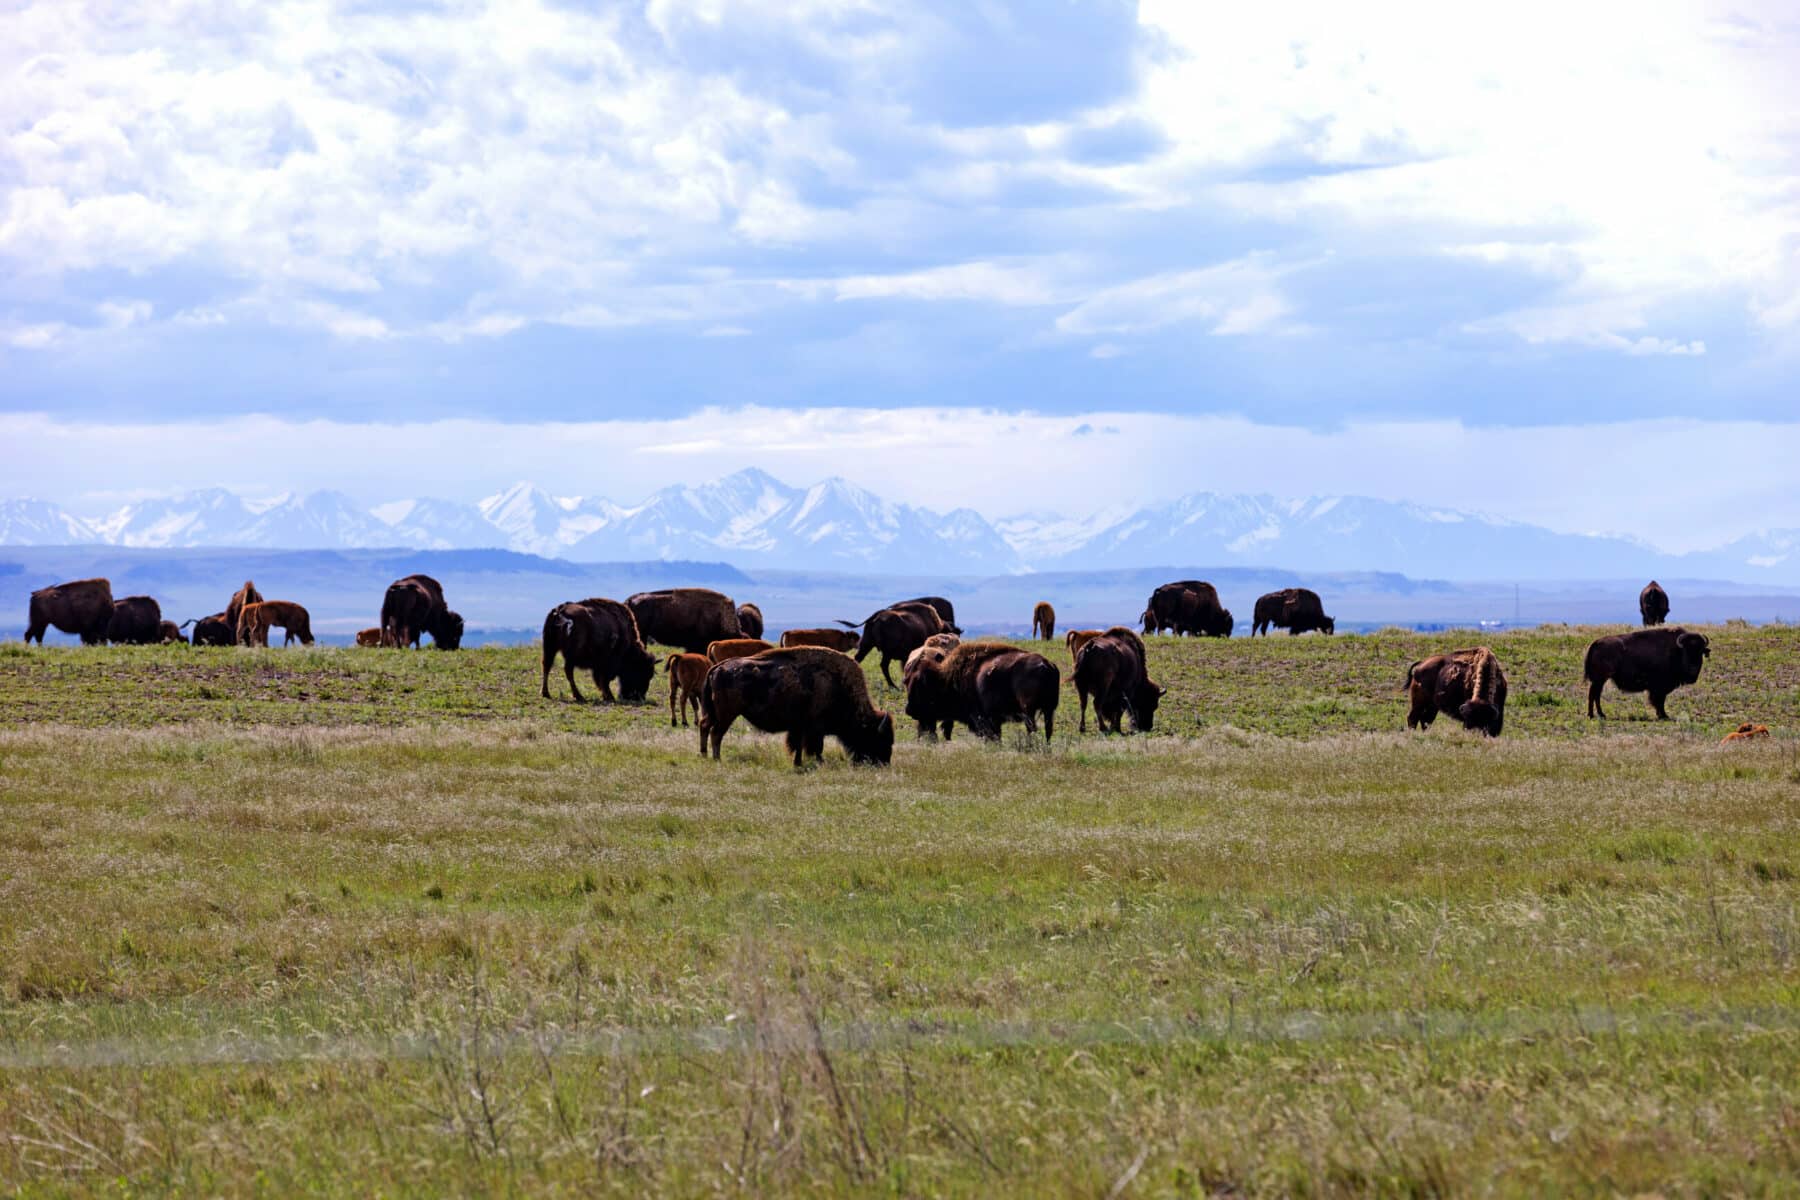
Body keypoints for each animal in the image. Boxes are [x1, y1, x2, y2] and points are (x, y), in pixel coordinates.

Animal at [699, 646, 896, 768]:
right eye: (879, 738)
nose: (884, 763)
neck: (838, 685)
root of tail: (718, 667)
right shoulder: (814, 728)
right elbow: (815, 747)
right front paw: (819, 762)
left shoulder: (800, 727)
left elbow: (798, 745)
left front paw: (798, 762)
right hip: (727, 714)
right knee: (716, 733)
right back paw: (717, 758)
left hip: (714, 713)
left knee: (705, 727)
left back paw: (704, 755)